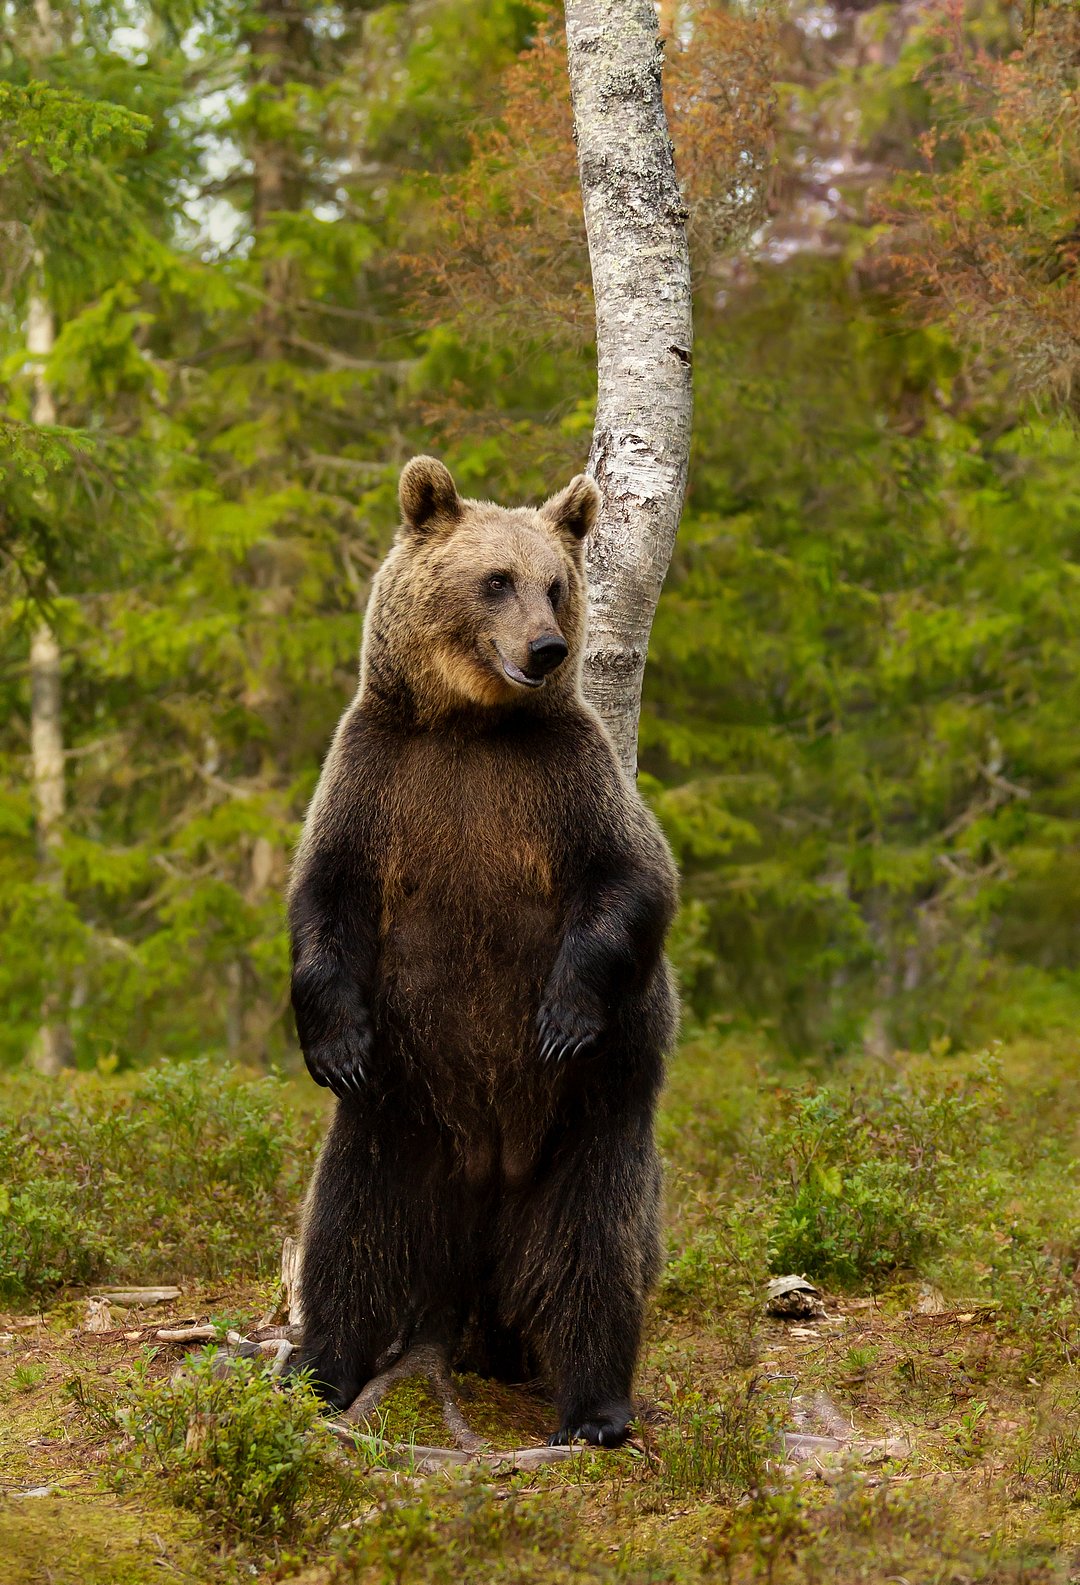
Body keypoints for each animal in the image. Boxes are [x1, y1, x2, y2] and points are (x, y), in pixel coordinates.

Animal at [286, 456, 678, 1447]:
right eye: (495, 578)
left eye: (556, 583)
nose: (545, 649)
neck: (471, 724)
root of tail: (488, 1176)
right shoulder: (378, 778)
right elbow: (323, 899)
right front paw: (334, 1043)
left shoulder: (565, 782)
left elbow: (634, 882)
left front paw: (562, 1018)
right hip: (398, 1125)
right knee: (350, 1236)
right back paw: (318, 1368)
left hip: (588, 1129)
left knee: (593, 1253)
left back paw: (596, 1408)